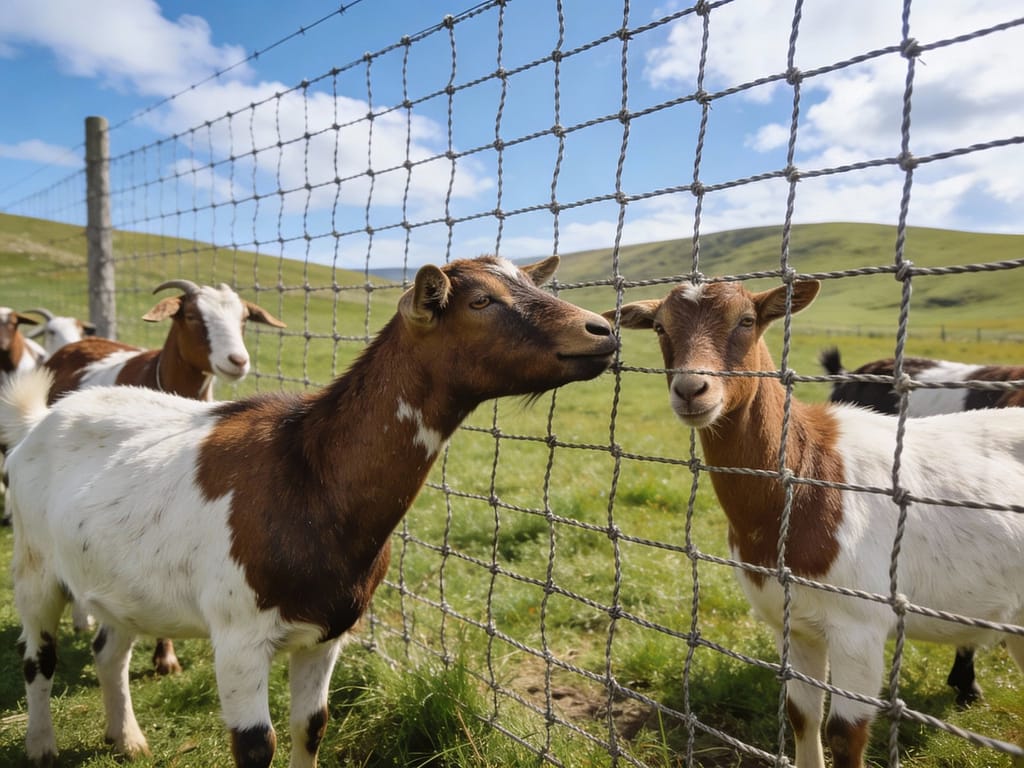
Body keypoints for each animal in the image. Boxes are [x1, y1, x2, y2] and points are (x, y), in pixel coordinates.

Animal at [0, 255, 616, 768]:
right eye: (481, 301)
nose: (603, 330)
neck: (309, 473)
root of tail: (43, 418)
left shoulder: (329, 632)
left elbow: (311, 727)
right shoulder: (239, 637)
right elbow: (256, 745)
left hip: (119, 578)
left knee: (109, 651)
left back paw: (125, 739)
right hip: (34, 563)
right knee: (38, 659)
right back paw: (41, 746)